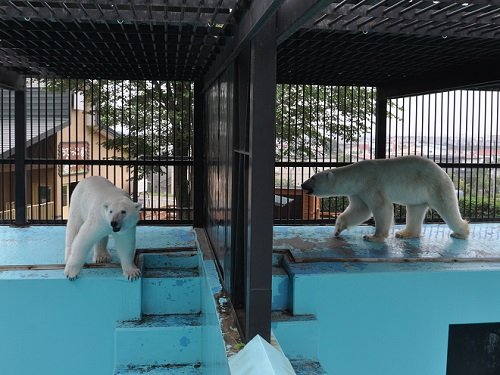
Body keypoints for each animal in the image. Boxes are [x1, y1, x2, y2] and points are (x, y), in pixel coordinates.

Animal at [300, 156, 468, 242]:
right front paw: (338, 230)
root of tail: (443, 171)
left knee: (448, 208)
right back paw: (404, 233)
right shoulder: (359, 191)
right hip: (419, 194)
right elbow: (359, 210)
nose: (302, 184)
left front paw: (373, 236)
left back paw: (461, 233)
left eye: (313, 178)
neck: (356, 176)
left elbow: (381, 207)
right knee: (415, 209)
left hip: (435, 186)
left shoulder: (371, 184)